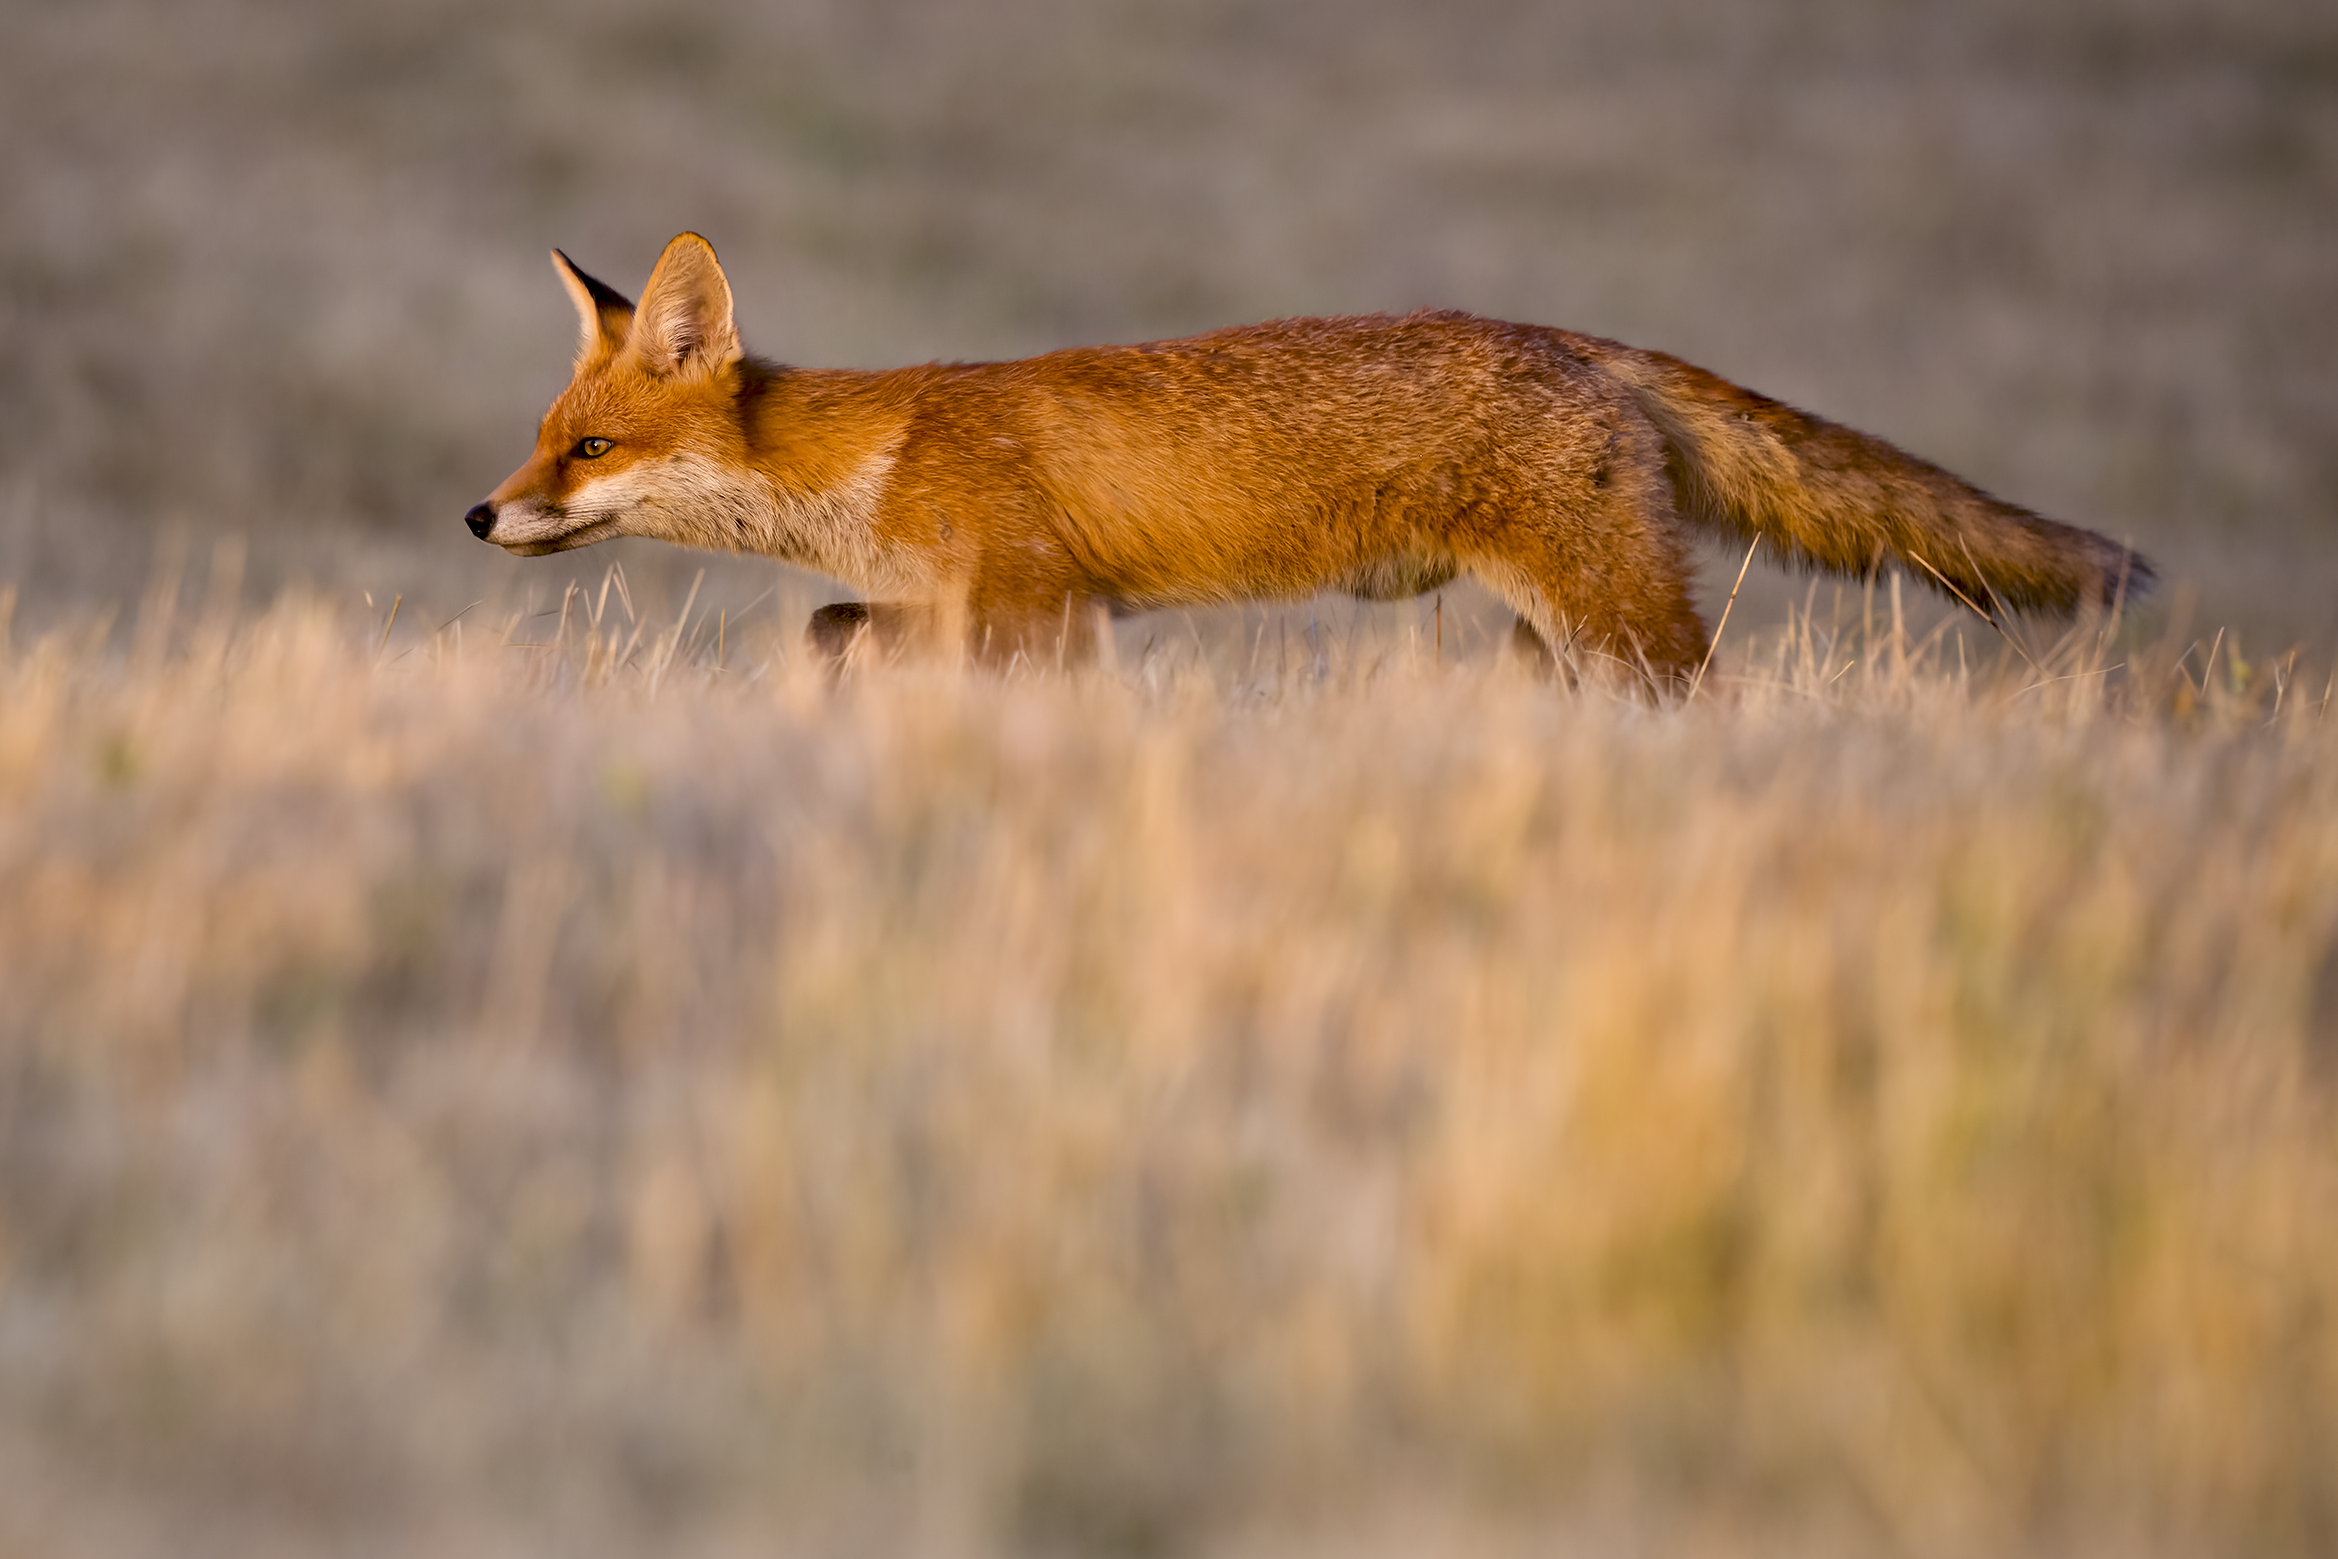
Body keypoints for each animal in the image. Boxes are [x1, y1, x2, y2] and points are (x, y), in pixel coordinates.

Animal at [467, 232, 2151, 682]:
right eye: (540, 441)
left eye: (589, 448)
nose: (480, 513)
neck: (870, 463)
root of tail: (1573, 337)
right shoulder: (963, 603)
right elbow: (827, 632)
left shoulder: (1036, 606)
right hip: (1557, 630)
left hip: (1613, 610)